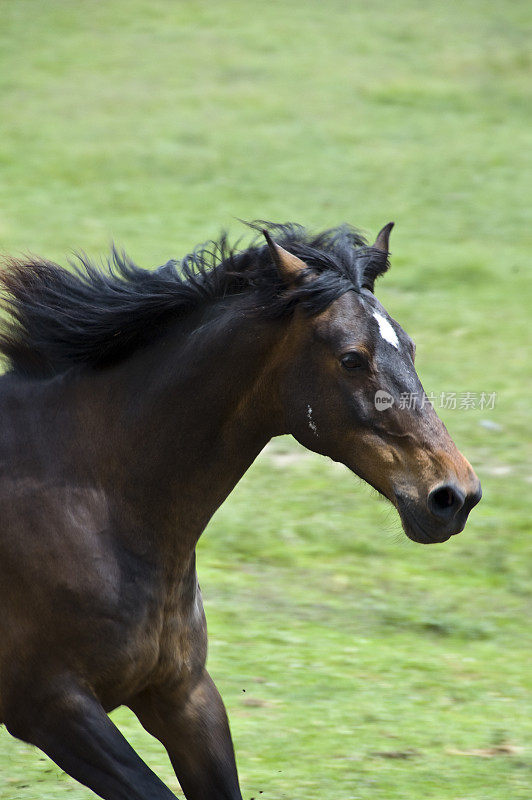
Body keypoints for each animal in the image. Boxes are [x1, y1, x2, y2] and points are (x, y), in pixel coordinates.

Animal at [0, 223, 482, 800]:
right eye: (352, 358)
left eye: (409, 347)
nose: (454, 495)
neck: (91, 498)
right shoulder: (54, 707)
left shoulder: (184, 695)